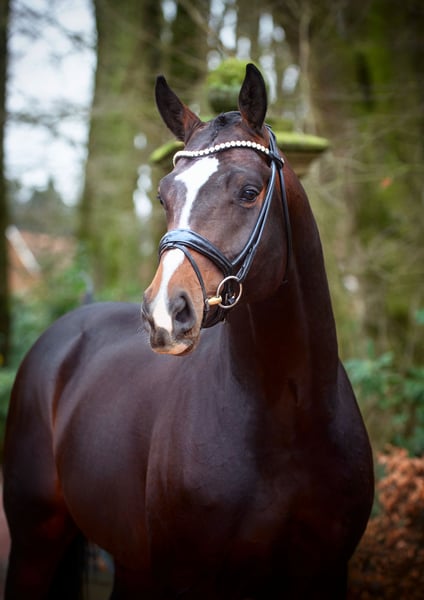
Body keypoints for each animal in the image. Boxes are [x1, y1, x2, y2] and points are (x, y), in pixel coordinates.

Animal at [3, 64, 373, 599]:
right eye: (163, 195)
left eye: (248, 191)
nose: (164, 313)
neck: (292, 418)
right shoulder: (189, 576)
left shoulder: (326, 573)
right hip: (35, 540)